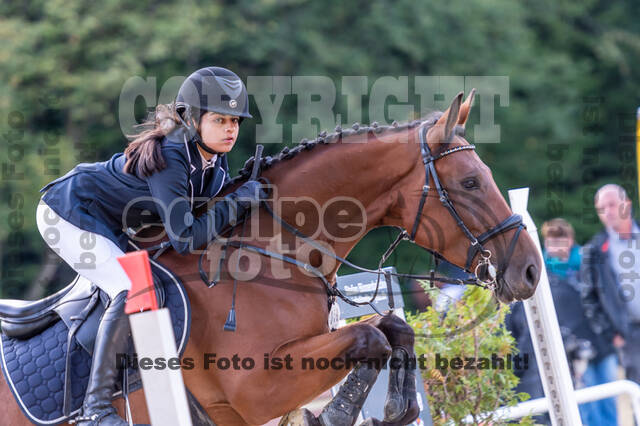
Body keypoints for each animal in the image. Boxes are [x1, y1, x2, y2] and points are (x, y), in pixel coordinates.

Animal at [0, 91, 540, 424]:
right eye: (469, 182)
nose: (530, 271)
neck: (275, 253)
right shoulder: (254, 389)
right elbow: (368, 335)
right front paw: (333, 415)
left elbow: (392, 328)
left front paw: (394, 410)